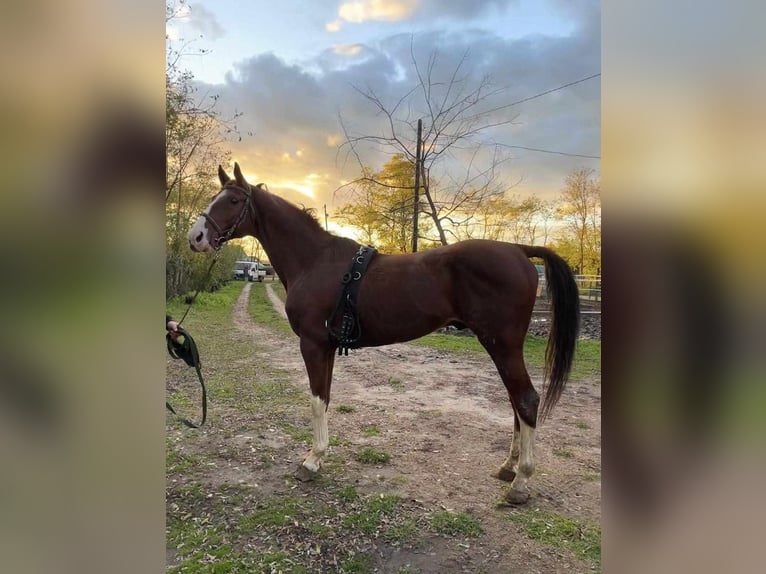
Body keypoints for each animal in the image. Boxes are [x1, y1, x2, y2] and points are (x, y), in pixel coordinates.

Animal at [189, 162, 580, 504]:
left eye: (233, 201)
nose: (196, 237)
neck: (316, 260)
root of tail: (518, 250)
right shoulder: (326, 347)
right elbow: (325, 398)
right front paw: (319, 456)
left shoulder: (312, 345)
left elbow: (316, 400)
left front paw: (312, 462)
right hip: (503, 347)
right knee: (516, 402)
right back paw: (508, 468)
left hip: (502, 344)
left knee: (526, 399)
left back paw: (520, 483)